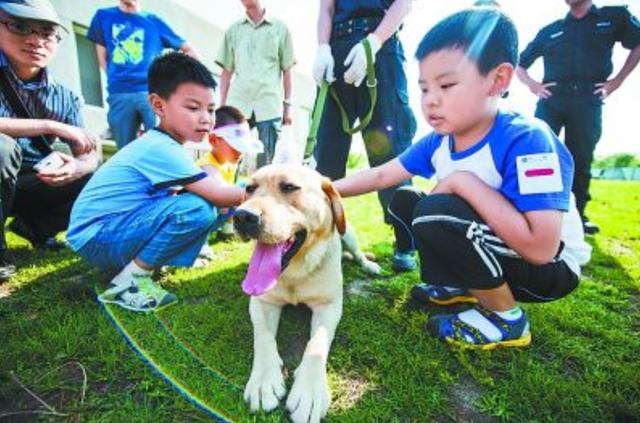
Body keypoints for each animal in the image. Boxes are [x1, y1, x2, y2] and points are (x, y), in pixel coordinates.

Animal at [232, 165, 378, 423]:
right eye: (249, 188)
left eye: (289, 187)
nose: (242, 217)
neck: (294, 272)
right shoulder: (262, 302)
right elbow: (263, 337)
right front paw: (263, 381)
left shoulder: (329, 305)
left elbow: (317, 344)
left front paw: (309, 391)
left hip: (348, 233)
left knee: (357, 251)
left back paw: (367, 264)